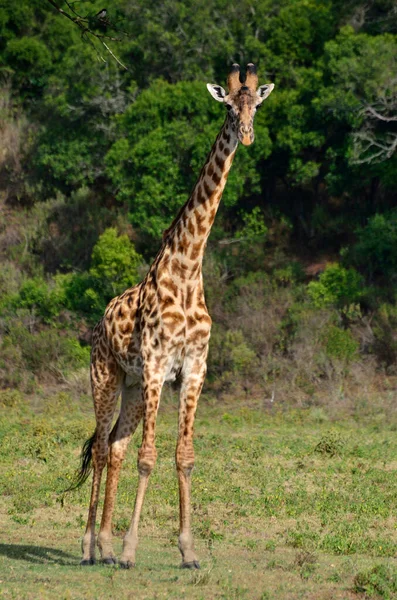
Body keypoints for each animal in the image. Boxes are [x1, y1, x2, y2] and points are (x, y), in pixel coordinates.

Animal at [76, 63, 276, 568]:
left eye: (256, 105)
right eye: (228, 107)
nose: (246, 136)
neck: (187, 268)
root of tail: (98, 323)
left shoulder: (193, 369)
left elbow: (183, 455)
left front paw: (188, 551)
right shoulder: (155, 365)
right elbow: (149, 456)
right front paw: (132, 550)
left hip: (130, 387)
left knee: (116, 446)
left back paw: (104, 545)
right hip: (107, 378)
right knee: (103, 449)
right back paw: (88, 547)